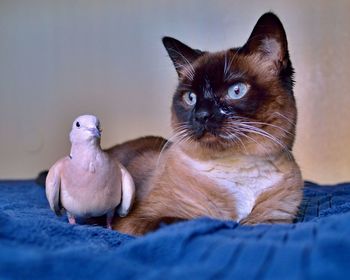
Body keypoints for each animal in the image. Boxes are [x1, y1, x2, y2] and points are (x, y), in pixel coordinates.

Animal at [108, 13, 302, 236]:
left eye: (236, 91)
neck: (239, 168)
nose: (202, 115)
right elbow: (200, 223)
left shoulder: (273, 222)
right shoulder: (140, 220)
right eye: (191, 98)